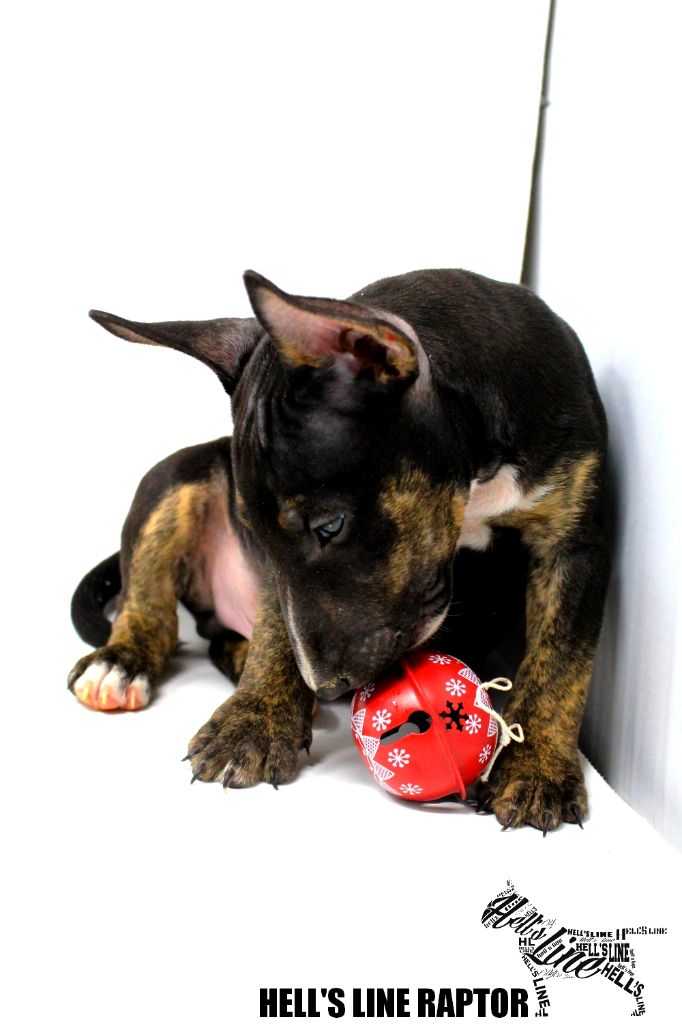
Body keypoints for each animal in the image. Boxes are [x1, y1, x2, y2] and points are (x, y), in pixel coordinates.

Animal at [67, 268, 609, 830]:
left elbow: (562, 657)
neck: (476, 470)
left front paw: (535, 769)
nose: (327, 688)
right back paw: (121, 662)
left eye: (330, 526)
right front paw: (254, 723)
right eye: (258, 537)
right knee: (149, 595)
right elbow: (277, 628)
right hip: (175, 476)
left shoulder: (576, 543)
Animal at [482, 882, 662, 1015]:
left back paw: (639, 1012)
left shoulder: (535, 968)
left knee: (635, 988)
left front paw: (543, 1012)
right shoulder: (536, 969)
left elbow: (541, 993)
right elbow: (542, 993)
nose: (483, 915)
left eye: (499, 901)